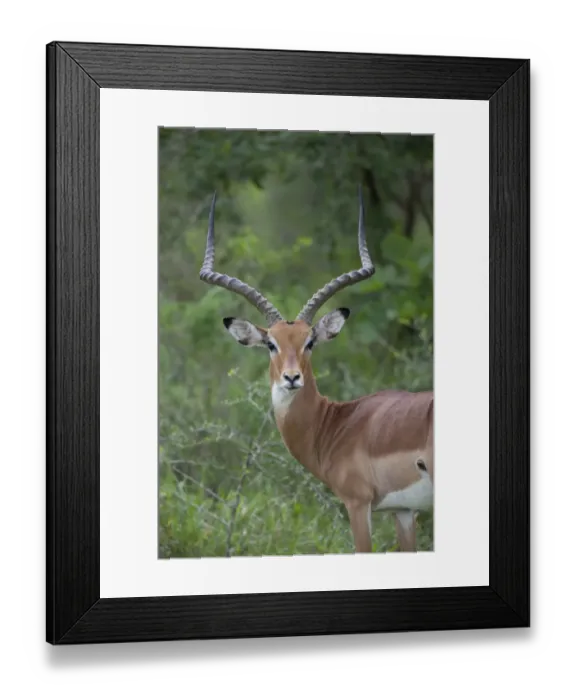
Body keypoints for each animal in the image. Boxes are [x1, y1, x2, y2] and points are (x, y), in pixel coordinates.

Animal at [199, 189, 434, 553]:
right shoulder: (404, 511)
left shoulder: (357, 503)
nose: (292, 377)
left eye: (309, 341)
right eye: (271, 344)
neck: (336, 425)